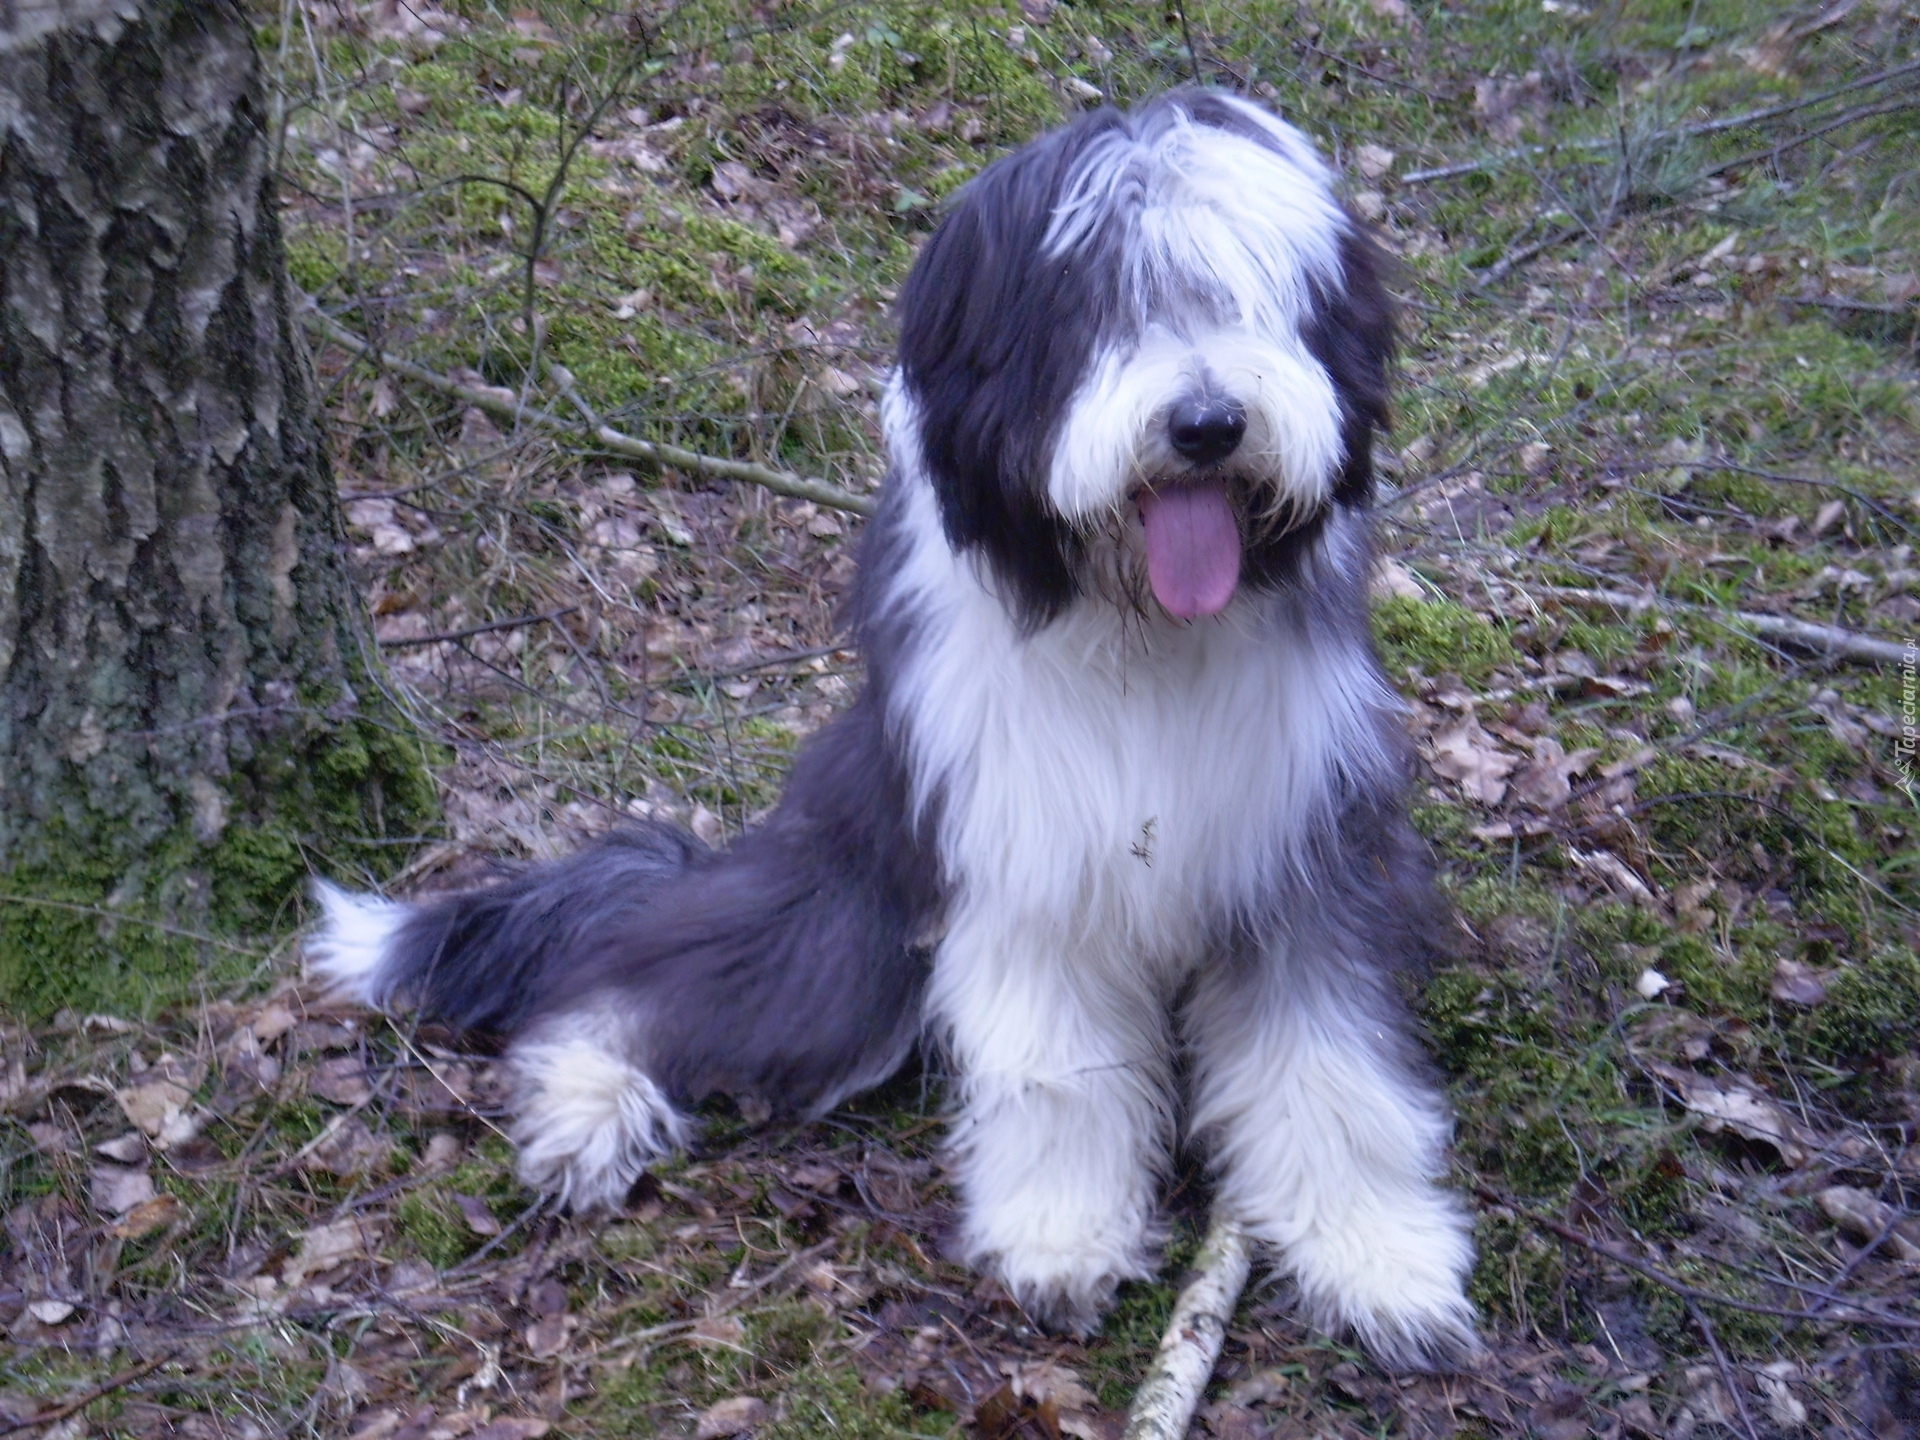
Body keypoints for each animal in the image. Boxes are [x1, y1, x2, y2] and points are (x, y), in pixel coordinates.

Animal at [311, 90, 1482, 1374]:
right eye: (1097, 305)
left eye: (1257, 293)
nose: (1209, 426)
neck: (1135, 630)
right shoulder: (1026, 856)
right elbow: (1056, 1065)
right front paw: (1062, 1236)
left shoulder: (1303, 845)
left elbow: (1333, 1065)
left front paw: (1378, 1260)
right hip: (853, 925)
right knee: (641, 973)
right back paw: (584, 1100)